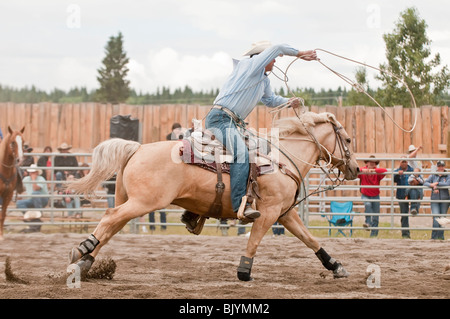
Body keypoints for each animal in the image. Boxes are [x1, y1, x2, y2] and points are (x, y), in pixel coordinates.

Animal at [68, 112, 360, 282]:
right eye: (347, 139)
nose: (356, 169)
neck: (281, 160)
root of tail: (137, 149)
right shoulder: (268, 213)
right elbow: (254, 241)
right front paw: (244, 272)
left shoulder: (286, 213)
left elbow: (310, 239)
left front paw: (336, 266)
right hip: (143, 203)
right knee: (109, 218)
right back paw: (81, 251)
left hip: (129, 200)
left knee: (111, 227)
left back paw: (86, 263)